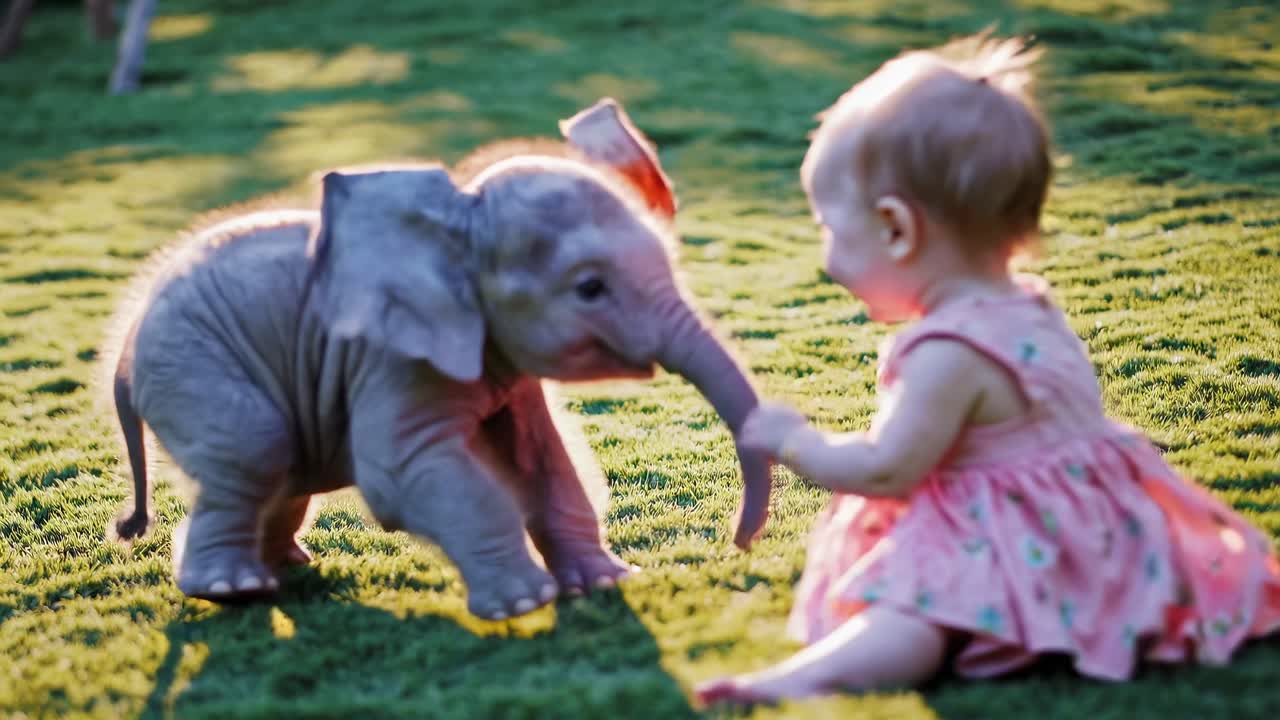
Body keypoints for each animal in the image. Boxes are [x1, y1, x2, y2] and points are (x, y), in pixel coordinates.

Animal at [105, 98, 773, 620]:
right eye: (590, 288)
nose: (736, 545)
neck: (458, 218)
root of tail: (126, 344)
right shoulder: (391, 356)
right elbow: (402, 472)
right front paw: (526, 603)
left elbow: (542, 458)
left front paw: (606, 583)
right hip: (194, 366)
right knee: (255, 449)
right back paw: (233, 590)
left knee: (282, 473)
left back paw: (285, 567)